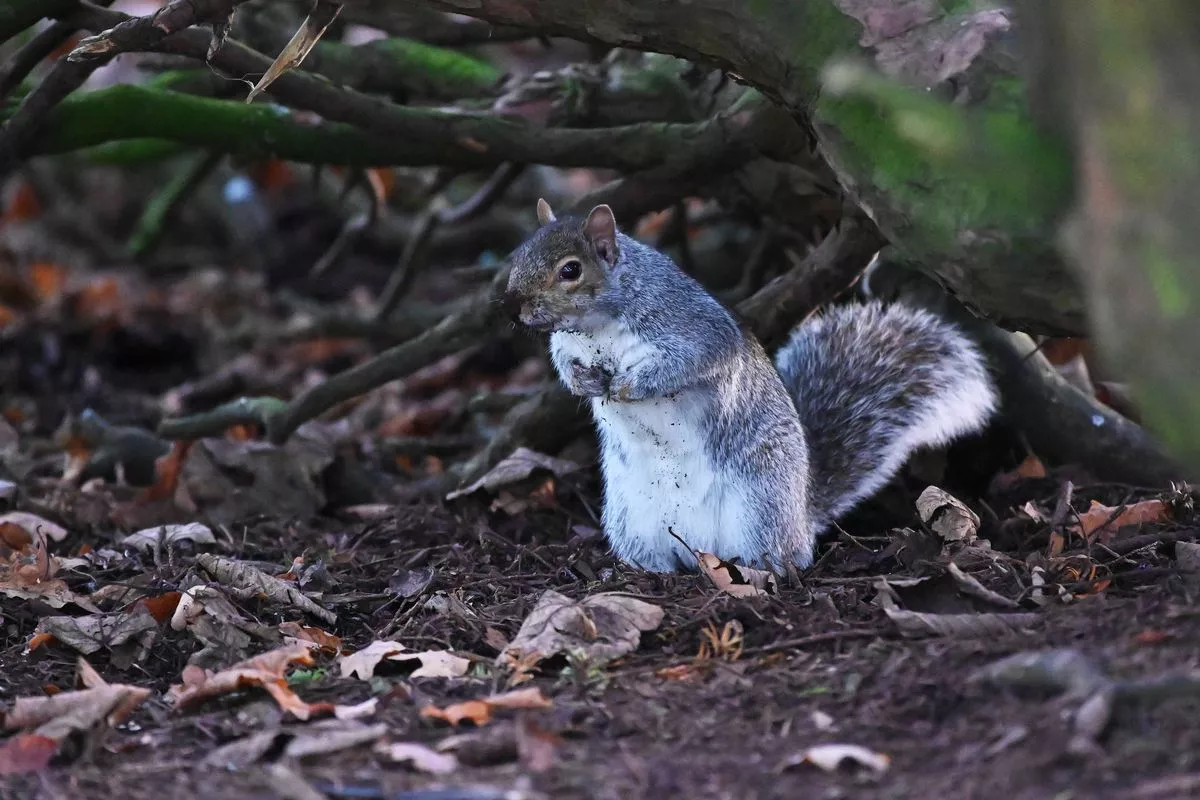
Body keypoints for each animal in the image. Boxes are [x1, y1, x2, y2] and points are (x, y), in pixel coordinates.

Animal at [502, 199, 998, 573]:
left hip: (761, 500)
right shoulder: (567, 343)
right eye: (519, 257)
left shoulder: (690, 327)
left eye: (570, 271)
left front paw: (631, 385)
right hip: (632, 517)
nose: (512, 307)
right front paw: (581, 381)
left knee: (779, 556)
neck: (597, 327)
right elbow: (563, 361)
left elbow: (689, 361)